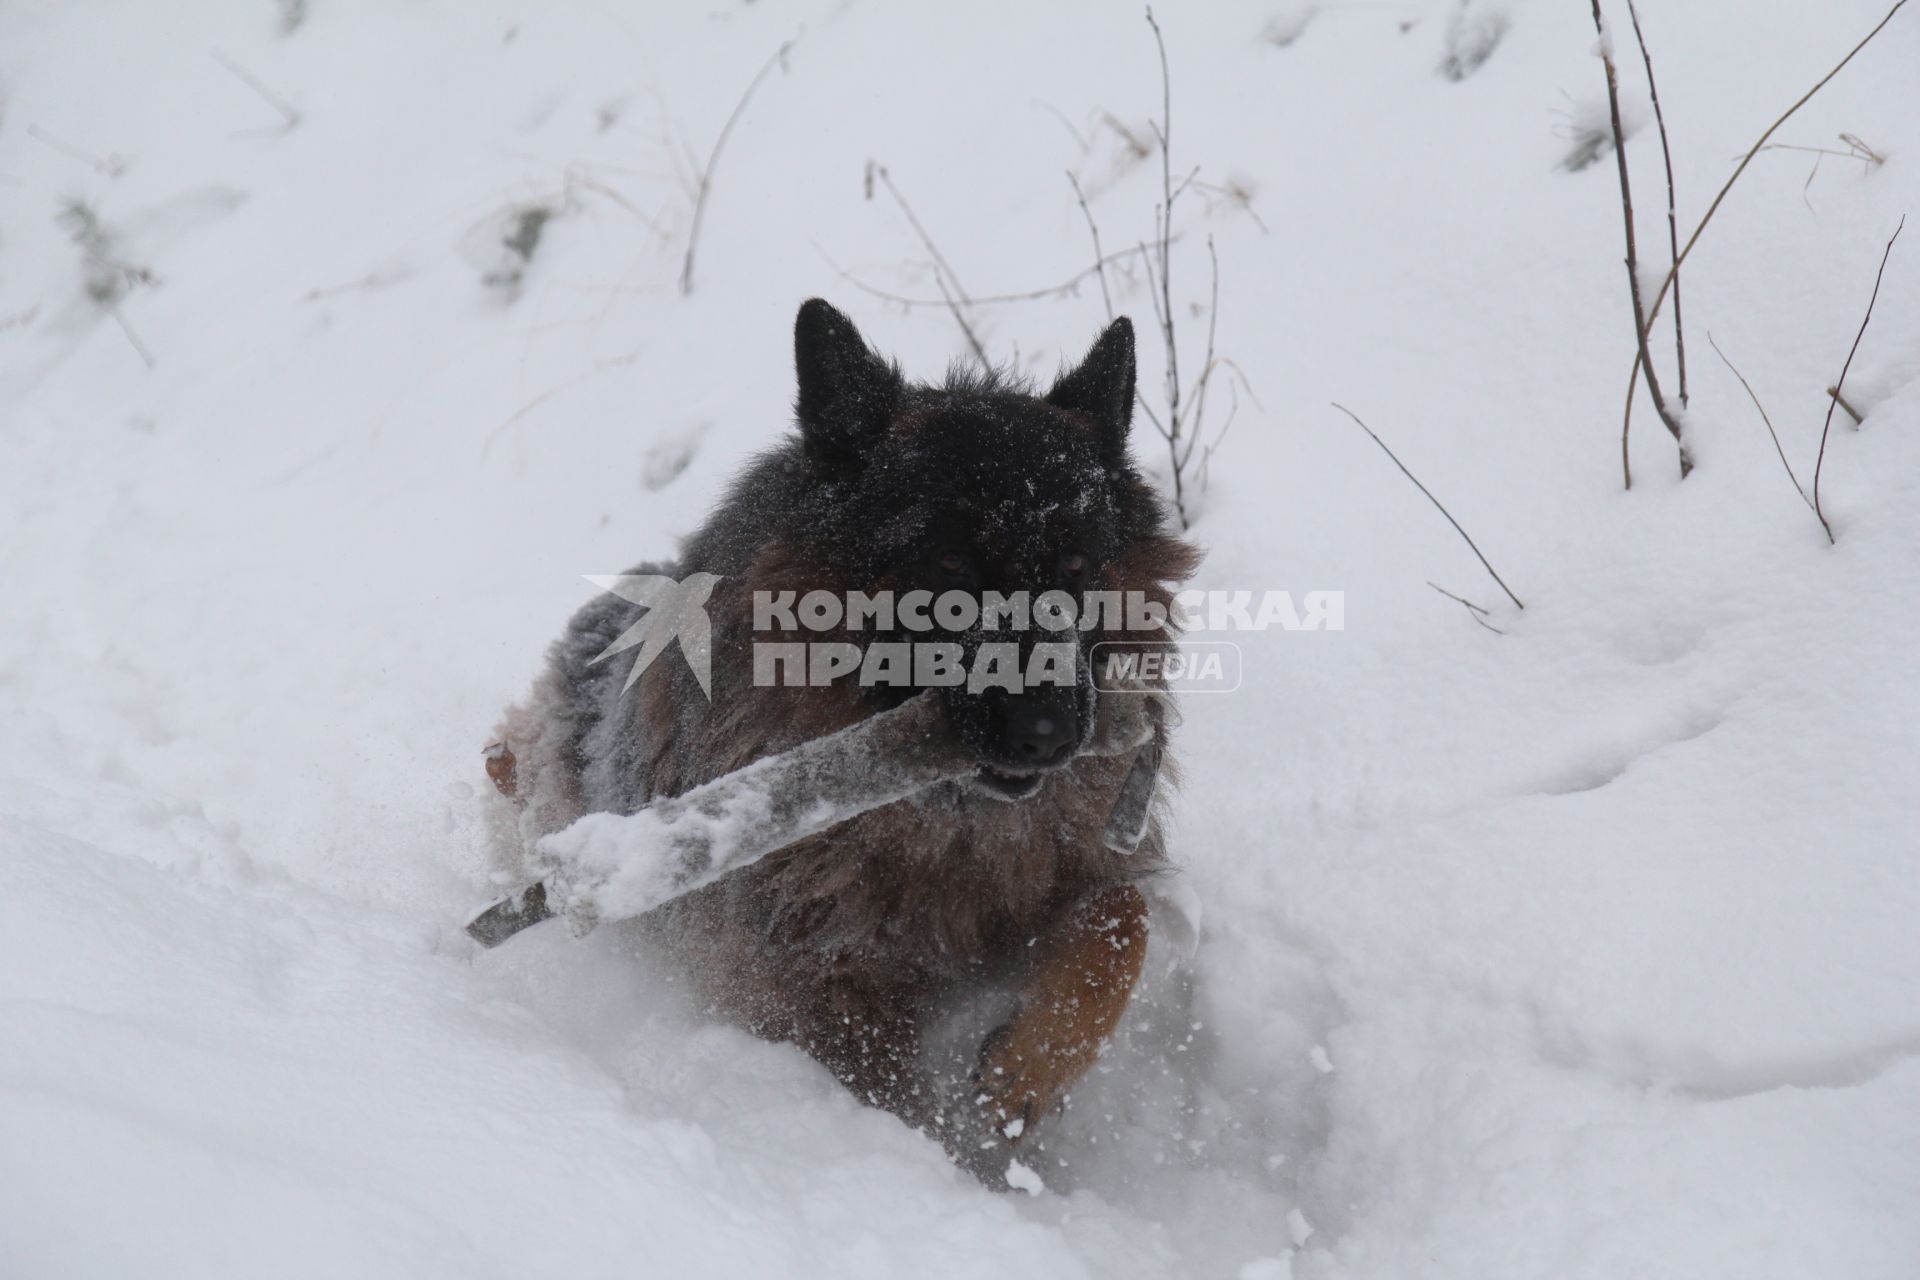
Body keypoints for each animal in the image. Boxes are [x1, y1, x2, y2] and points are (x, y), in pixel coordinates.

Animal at [487, 301, 1190, 1182]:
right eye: (948, 567)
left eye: (1076, 567)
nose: (1050, 735)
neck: (944, 830)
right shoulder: (815, 986)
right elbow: (881, 1081)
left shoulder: (1074, 869)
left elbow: (1120, 922)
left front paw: (1024, 1076)